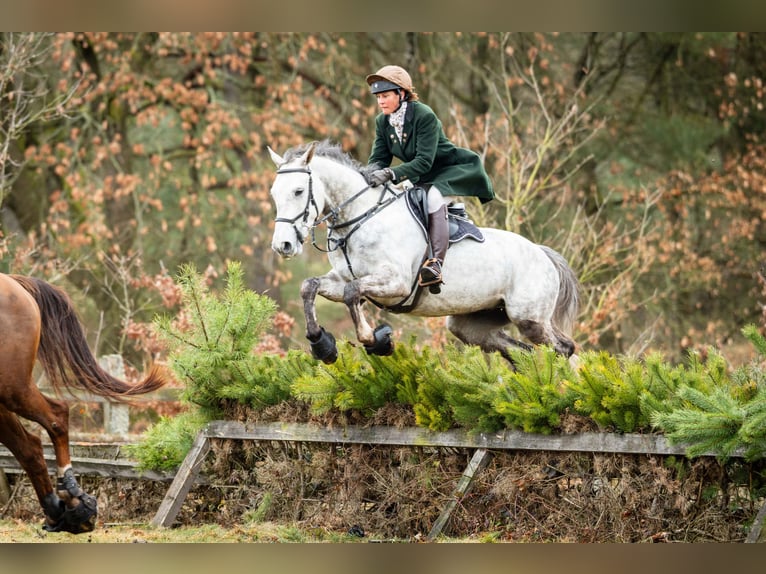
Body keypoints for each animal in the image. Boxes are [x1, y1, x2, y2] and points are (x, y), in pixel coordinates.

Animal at [0, 273, 169, 533]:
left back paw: (70, 496)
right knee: (29, 447)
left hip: (13, 388)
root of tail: (16, 283)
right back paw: (61, 511)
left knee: (56, 417)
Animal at [267, 140, 579, 365]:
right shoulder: (341, 279)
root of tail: (543, 254)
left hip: (529, 318)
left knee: (565, 349)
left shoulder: (397, 283)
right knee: (521, 353)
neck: (360, 217)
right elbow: (310, 287)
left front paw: (373, 339)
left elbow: (352, 293)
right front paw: (322, 345)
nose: (283, 246)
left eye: (298, 191)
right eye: (274, 193)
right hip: (473, 324)